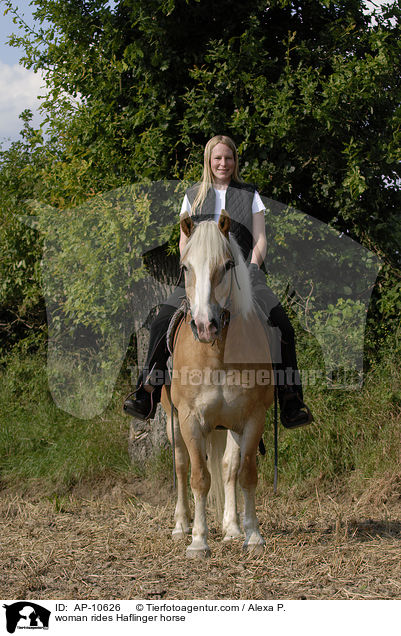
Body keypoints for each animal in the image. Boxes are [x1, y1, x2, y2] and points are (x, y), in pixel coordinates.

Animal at [161, 210, 274, 556]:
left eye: (226, 265)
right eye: (186, 267)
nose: (204, 326)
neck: (217, 353)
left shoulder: (251, 418)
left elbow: (244, 473)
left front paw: (252, 535)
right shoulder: (190, 419)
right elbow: (199, 477)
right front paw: (199, 541)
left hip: (229, 426)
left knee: (227, 468)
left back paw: (232, 529)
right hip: (172, 422)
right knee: (181, 466)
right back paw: (181, 526)